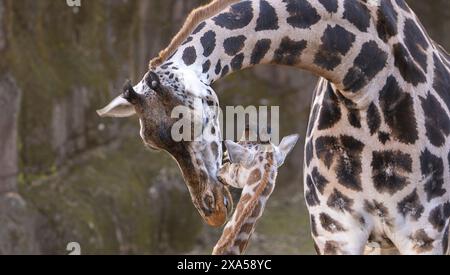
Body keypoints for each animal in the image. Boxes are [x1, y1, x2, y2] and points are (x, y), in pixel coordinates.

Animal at [98, 0, 450, 254]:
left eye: (201, 116)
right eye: (151, 143)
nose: (212, 211)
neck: (365, 84)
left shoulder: (426, 236)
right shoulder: (333, 232)